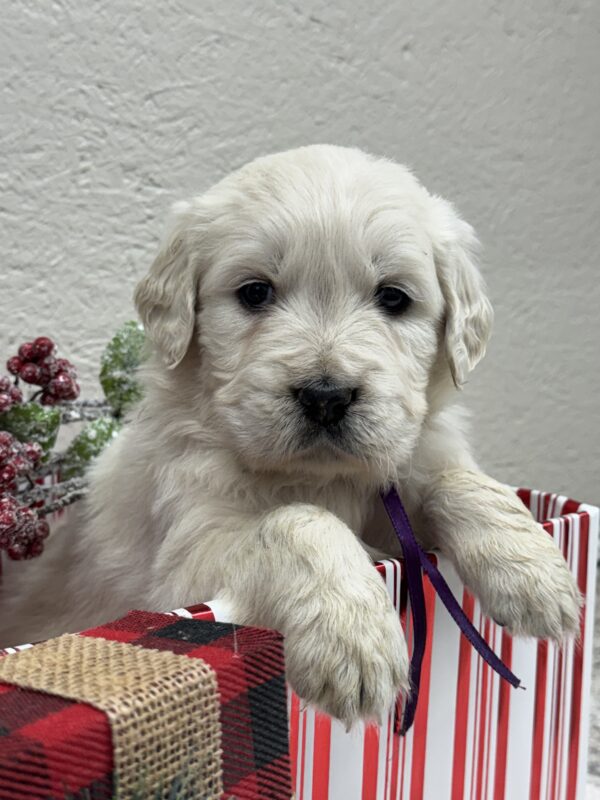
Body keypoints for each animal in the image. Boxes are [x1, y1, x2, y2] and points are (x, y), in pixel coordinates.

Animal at [1, 144, 580, 724]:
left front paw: (534, 572)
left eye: (394, 298)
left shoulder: (416, 467)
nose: (326, 396)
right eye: (255, 293)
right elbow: (297, 522)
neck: (324, 478)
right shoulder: (185, 564)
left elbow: (458, 480)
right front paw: (355, 639)